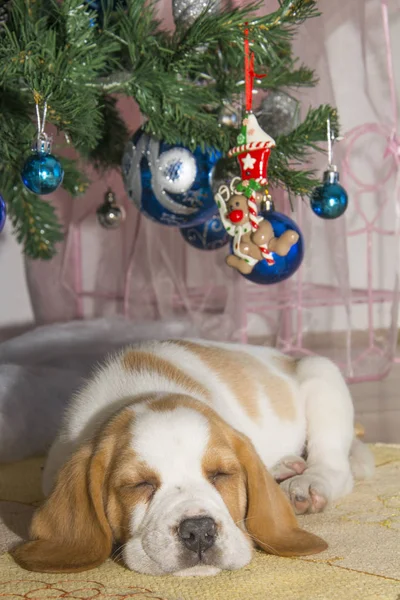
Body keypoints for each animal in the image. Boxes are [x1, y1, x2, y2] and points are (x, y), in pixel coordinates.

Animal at [13, 340, 376, 576]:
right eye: (139, 484)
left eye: (221, 475)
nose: (199, 532)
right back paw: (284, 467)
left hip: (321, 375)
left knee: (336, 467)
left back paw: (307, 483)